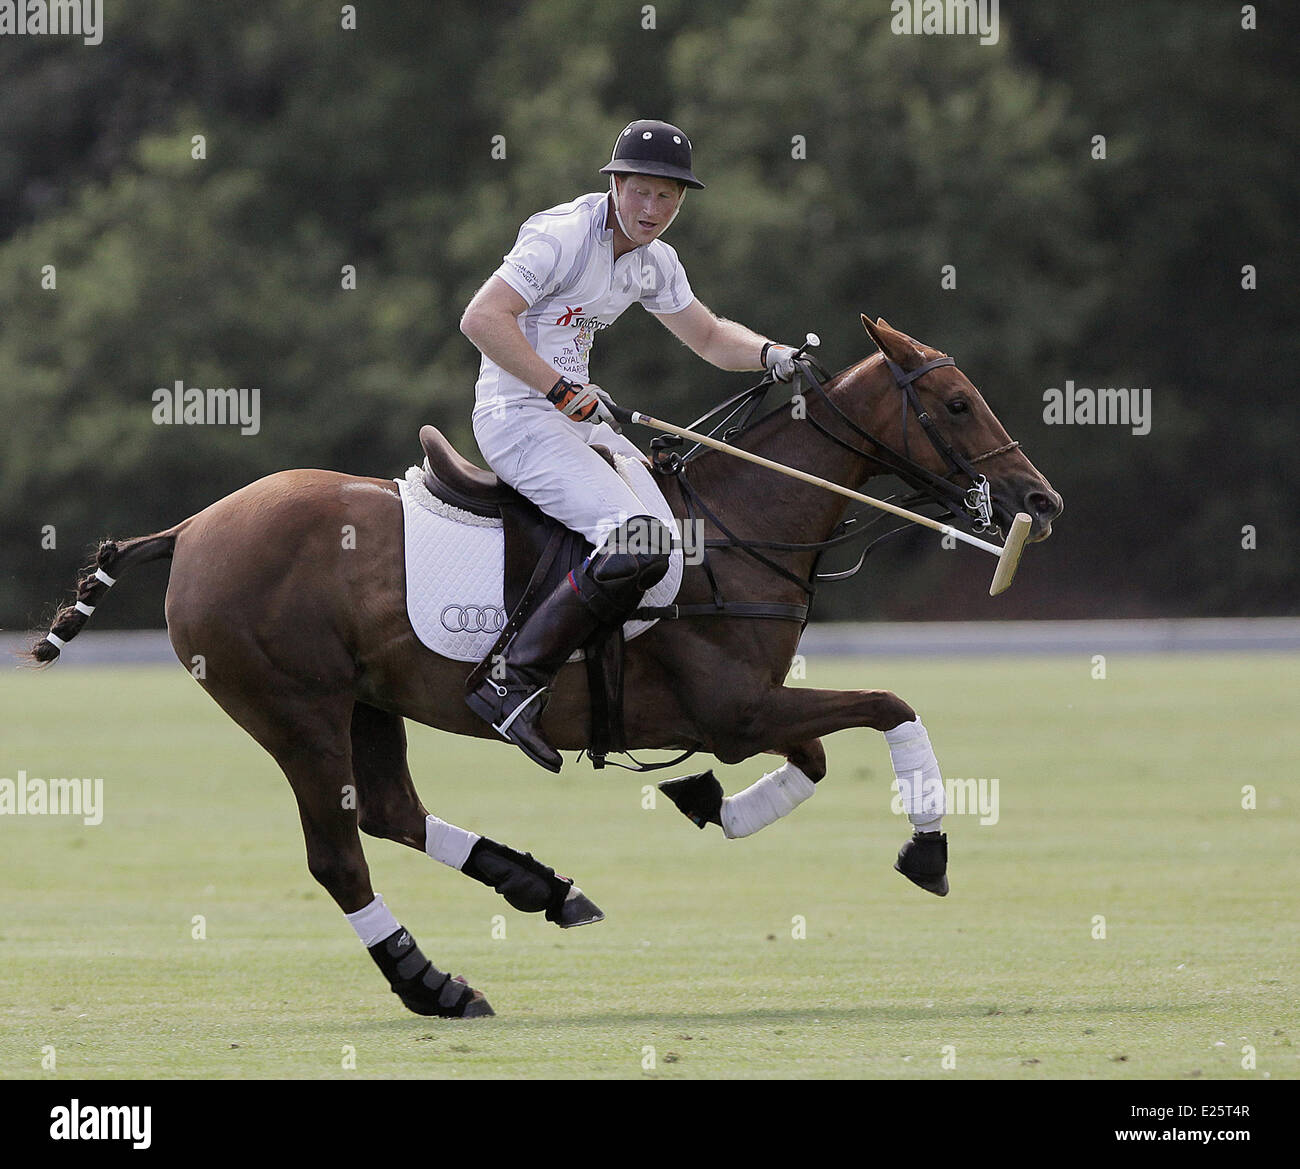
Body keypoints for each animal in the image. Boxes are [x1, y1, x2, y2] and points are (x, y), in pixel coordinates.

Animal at [27, 317, 1055, 1014]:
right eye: (956, 402)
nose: (1037, 500)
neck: (737, 523)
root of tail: (192, 527)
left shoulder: (740, 712)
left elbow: (815, 756)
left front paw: (704, 799)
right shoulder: (735, 710)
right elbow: (889, 704)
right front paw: (927, 850)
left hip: (365, 700)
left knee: (392, 812)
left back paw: (542, 889)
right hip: (293, 710)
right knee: (339, 855)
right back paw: (435, 983)